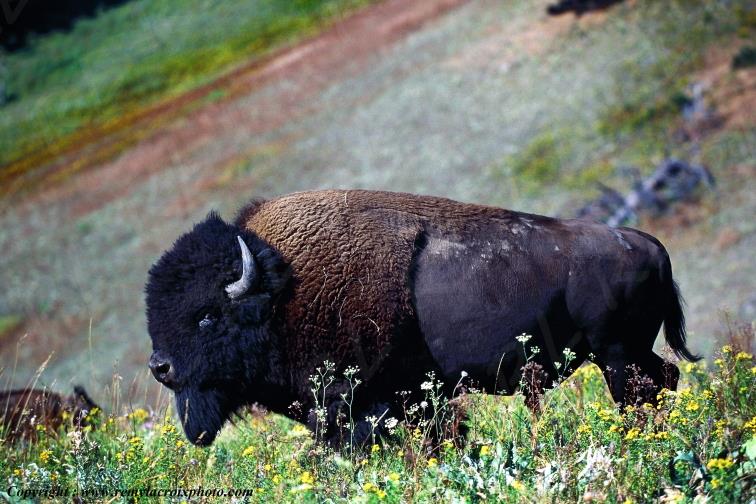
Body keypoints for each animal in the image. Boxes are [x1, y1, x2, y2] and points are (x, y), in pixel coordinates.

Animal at [146, 190, 698, 447]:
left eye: (207, 316)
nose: (161, 367)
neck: (282, 294)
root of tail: (649, 243)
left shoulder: (372, 405)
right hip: (629, 354)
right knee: (667, 378)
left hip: (616, 356)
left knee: (641, 394)